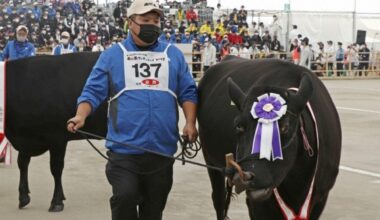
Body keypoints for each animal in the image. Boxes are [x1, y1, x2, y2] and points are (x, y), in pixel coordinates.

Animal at [5, 52, 107, 212]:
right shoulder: (26, 138)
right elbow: (22, 163)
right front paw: (23, 197)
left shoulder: (57, 137)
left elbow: (56, 168)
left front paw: (57, 201)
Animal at [197, 55, 342, 220]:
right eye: (239, 125)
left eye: (285, 127)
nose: (247, 176)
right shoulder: (259, 205)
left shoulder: (321, 197)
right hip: (210, 158)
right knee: (219, 199)